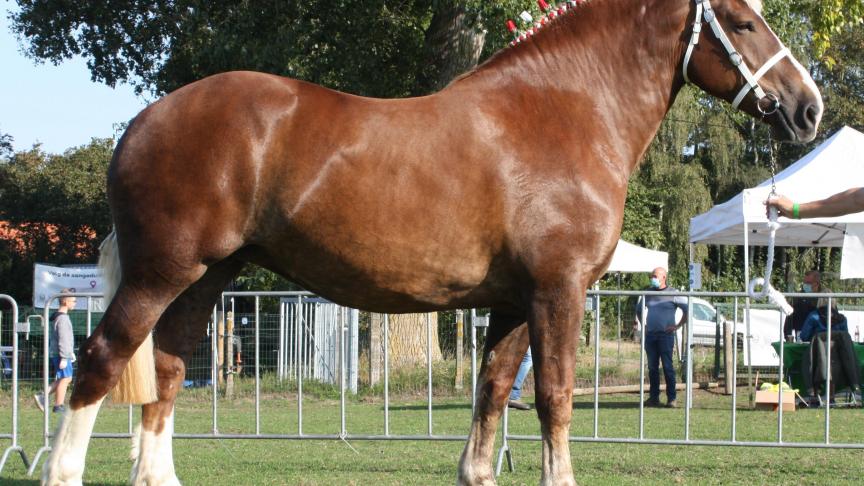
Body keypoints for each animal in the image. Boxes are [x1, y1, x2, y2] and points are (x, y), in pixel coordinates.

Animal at [42, 0, 824, 484]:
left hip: (205, 277)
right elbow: (555, 396)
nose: (808, 108)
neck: (563, 110)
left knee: (168, 370)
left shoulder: (511, 302)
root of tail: (143, 123)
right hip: (161, 272)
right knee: (99, 365)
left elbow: (493, 391)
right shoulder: (557, 290)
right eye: (745, 22)